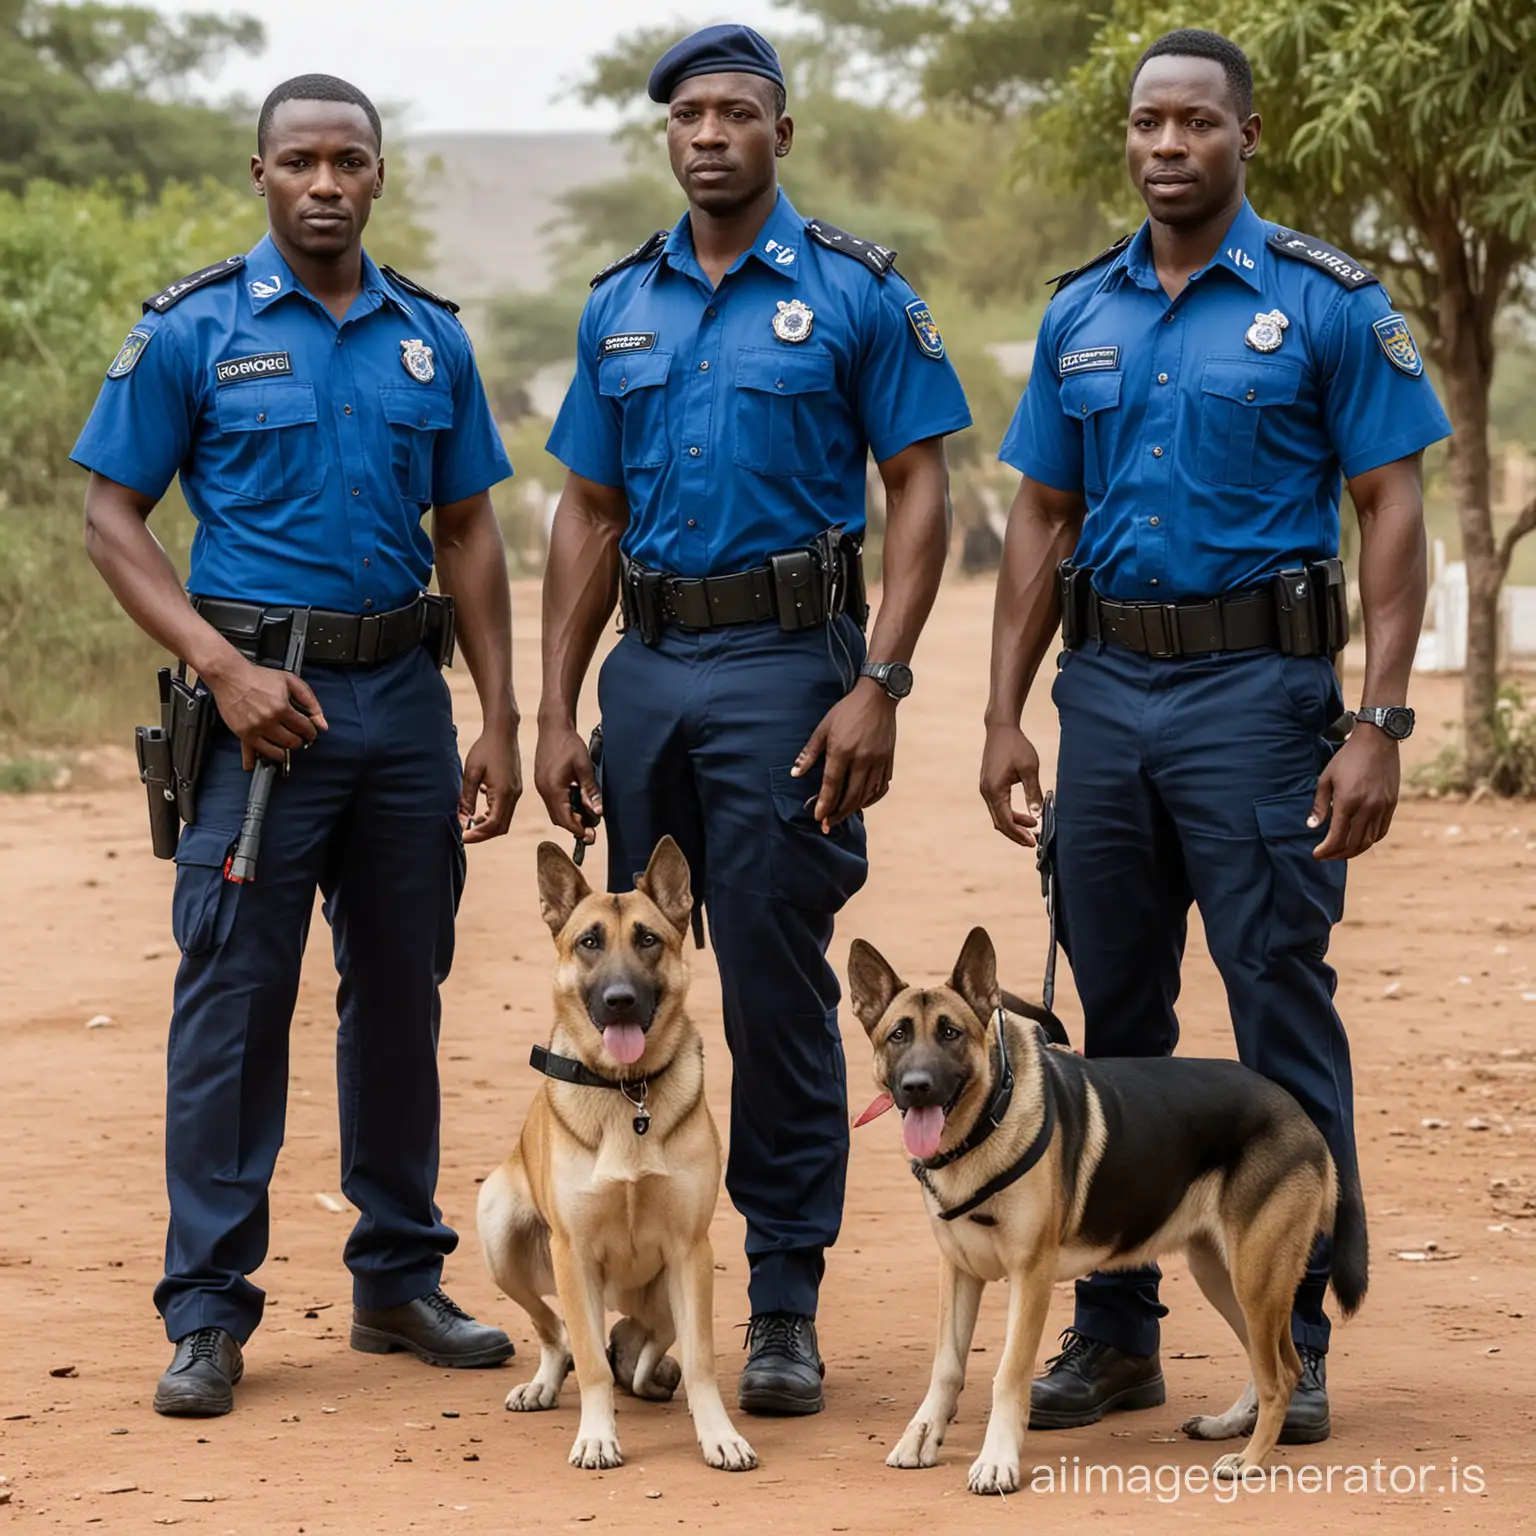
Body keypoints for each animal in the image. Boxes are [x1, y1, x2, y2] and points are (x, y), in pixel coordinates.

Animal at [470, 841, 752, 1474]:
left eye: (647, 939)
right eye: (589, 942)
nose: (620, 1000)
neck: (628, 1092)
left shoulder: (691, 1251)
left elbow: (701, 1363)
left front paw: (718, 1435)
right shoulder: (572, 1254)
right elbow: (592, 1365)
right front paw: (597, 1437)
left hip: (673, 1291)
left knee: (641, 1346)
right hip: (501, 1235)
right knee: (559, 1334)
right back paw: (544, 1383)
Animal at [854, 927, 1370, 1492]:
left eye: (950, 1032)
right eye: (898, 1035)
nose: (917, 1086)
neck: (984, 1125)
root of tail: (1298, 1111)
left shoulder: (1030, 1277)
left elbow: (1008, 1373)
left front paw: (997, 1460)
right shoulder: (960, 1271)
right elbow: (946, 1368)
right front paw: (923, 1436)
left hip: (1257, 1278)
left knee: (1283, 1374)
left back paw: (1250, 1459)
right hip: (1223, 1274)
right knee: (1270, 1364)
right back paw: (1229, 1425)